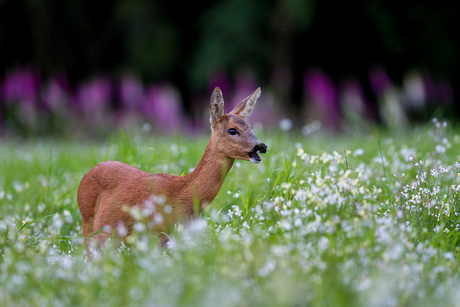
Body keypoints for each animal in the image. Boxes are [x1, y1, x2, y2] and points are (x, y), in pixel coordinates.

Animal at [77, 86, 266, 248]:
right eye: (232, 130)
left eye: (251, 127)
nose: (261, 146)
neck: (181, 195)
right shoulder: (155, 234)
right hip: (89, 225)